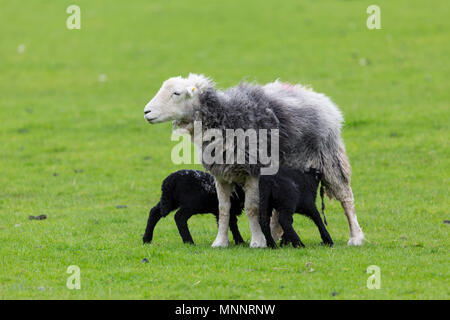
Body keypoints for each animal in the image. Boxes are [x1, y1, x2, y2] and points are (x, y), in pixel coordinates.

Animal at [144, 73, 366, 248]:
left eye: (176, 93)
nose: (146, 112)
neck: (225, 117)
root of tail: (318, 96)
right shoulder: (221, 174)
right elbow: (223, 210)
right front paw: (220, 242)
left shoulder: (253, 171)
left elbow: (252, 208)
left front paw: (257, 241)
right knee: (279, 211)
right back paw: (276, 236)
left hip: (329, 158)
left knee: (346, 196)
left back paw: (356, 237)